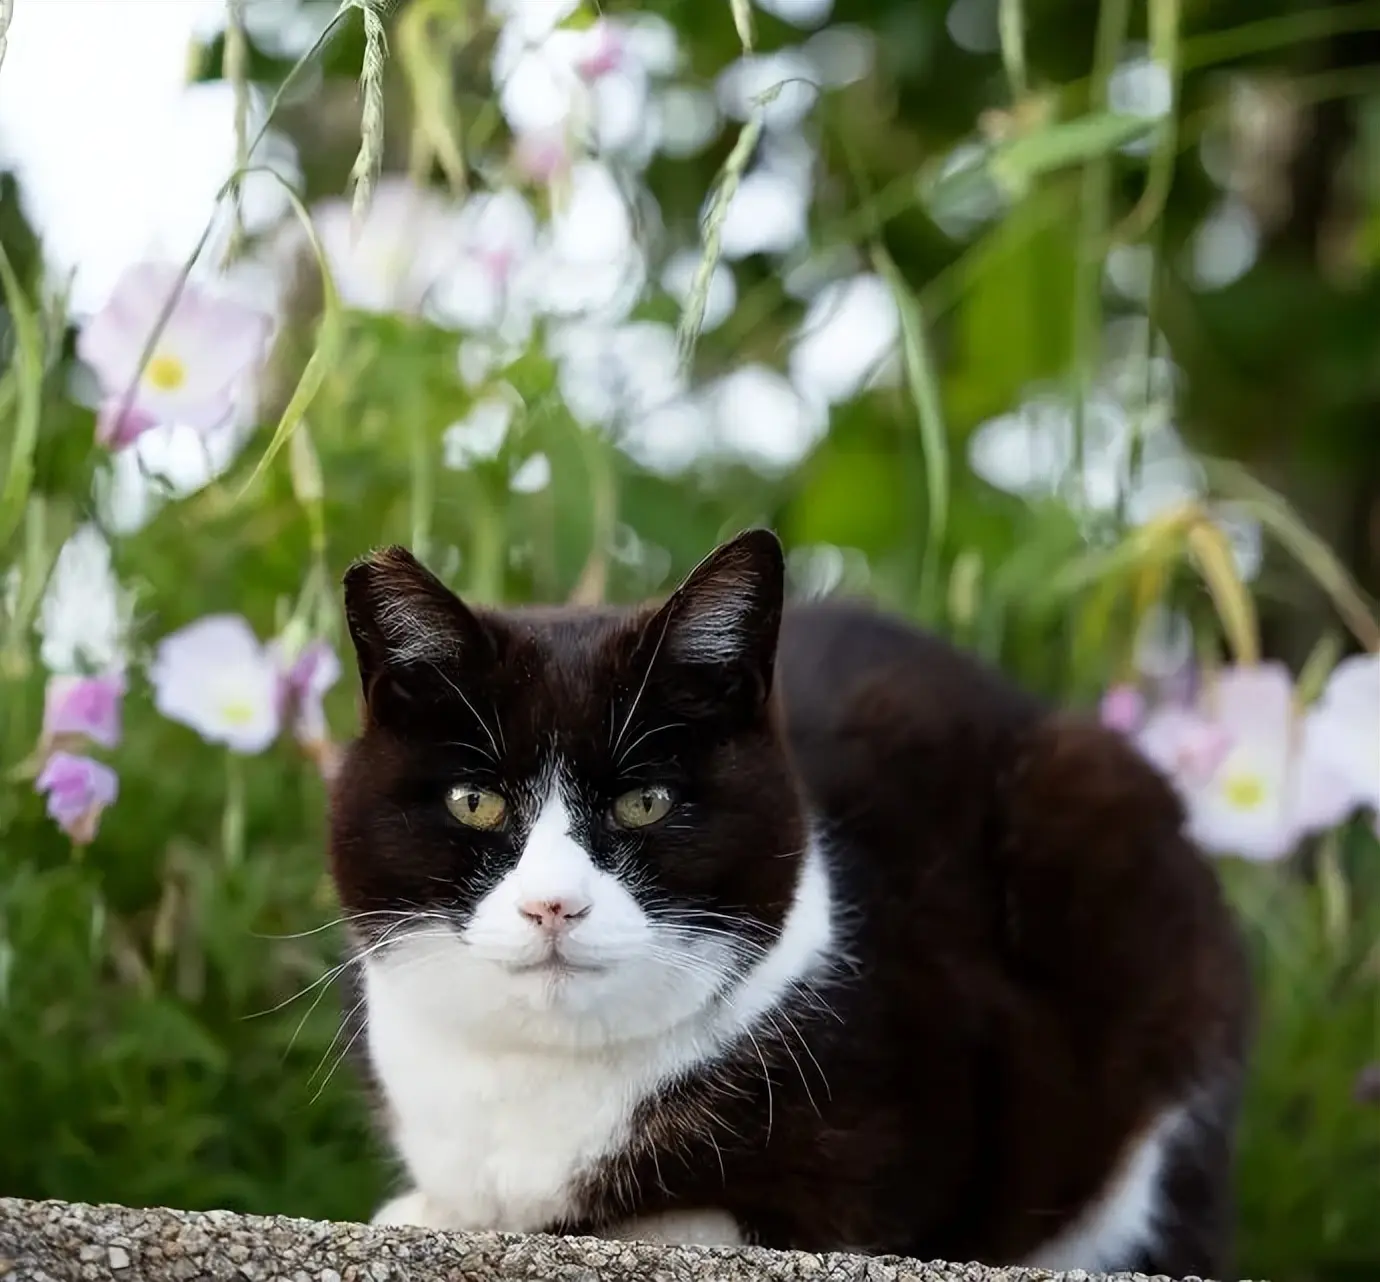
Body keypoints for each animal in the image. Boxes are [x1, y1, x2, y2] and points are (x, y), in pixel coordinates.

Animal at [328, 527, 1258, 1269]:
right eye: (474, 802)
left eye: (646, 801)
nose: (553, 906)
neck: (541, 1072)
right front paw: (423, 1208)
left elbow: (734, 1216)